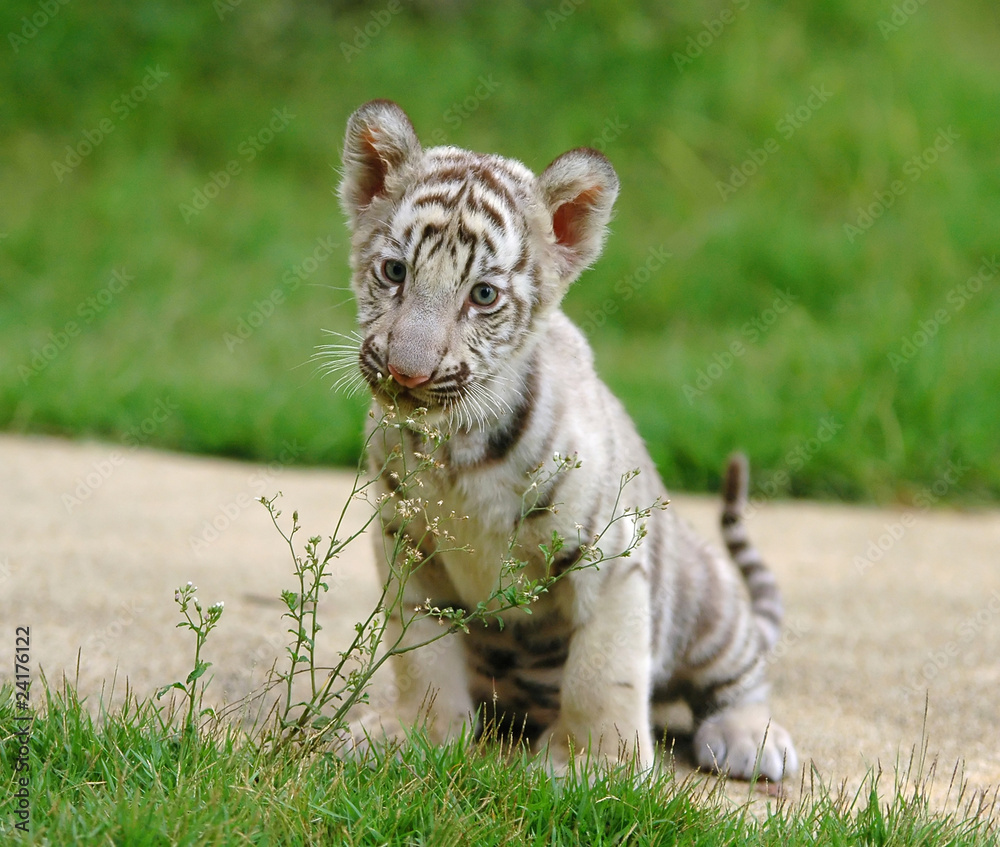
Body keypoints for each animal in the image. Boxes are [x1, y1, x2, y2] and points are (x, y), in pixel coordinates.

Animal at [332, 99, 797, 781]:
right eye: (395, 272)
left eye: (483, 295)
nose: (406, 371)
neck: (456, 446)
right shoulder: (405, 541)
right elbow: (419, 655)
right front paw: (416, 735)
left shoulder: (608, 552)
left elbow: (603, 670)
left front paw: (596, 766)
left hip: (706, 597)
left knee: (739, 673)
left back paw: (751, 739)